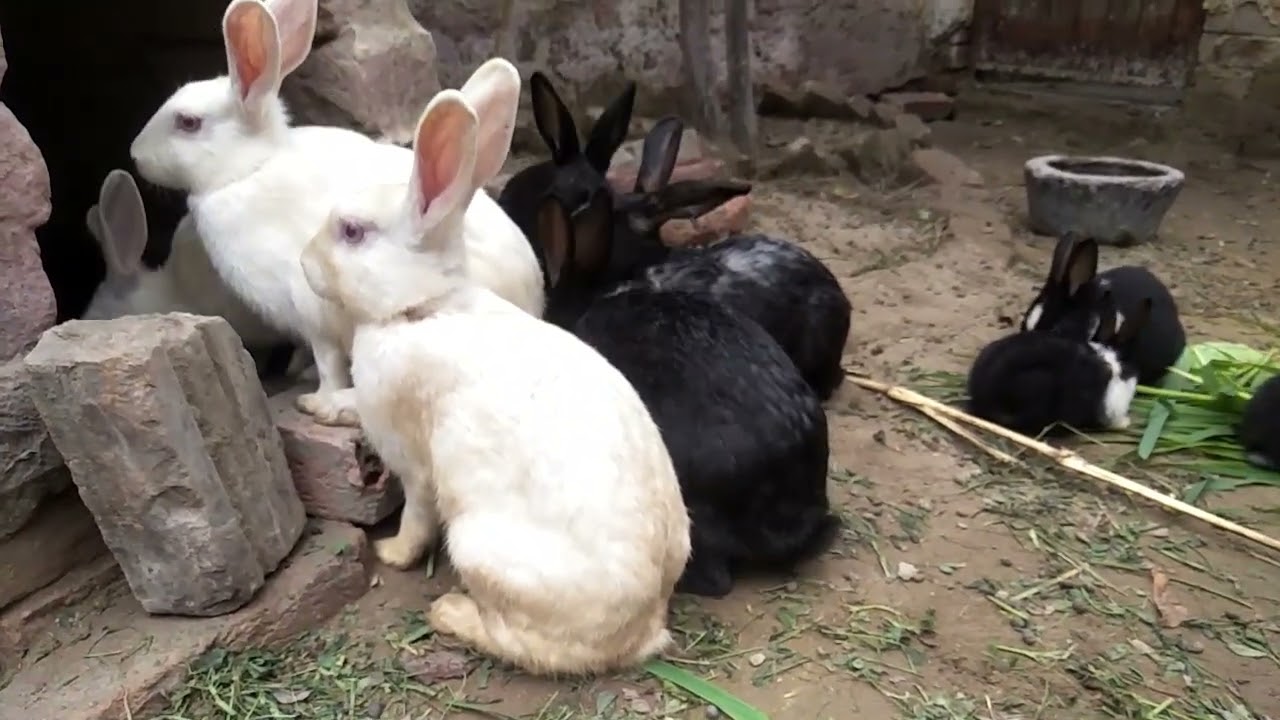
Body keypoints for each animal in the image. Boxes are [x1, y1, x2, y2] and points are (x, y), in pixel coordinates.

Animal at [128, 0, 541, 425]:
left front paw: (317, 391)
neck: (250, 169)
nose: (134, 154)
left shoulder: (311, 311)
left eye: (188, 122)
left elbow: (328, 361)